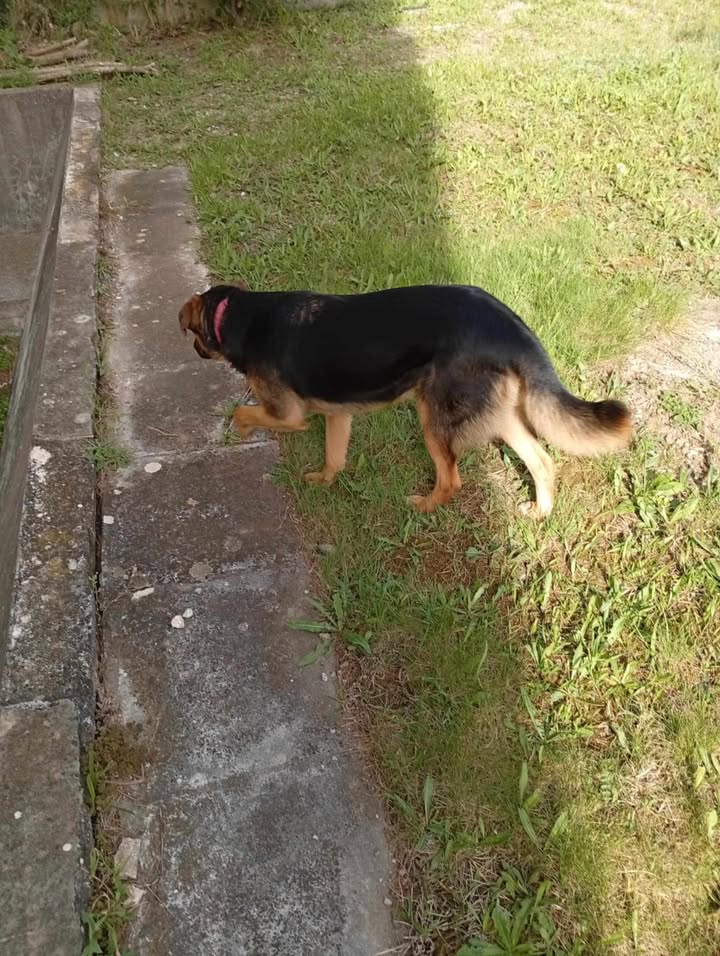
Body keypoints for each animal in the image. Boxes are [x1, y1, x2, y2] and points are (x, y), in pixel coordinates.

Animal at [179, 283, 632, 517]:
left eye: (194, 335)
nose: (196, 351)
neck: (238, 314)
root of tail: (512, 326)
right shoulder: (337, 415)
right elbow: (334, 457)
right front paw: (324, 482)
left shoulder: (289, 414)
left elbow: (244, 411)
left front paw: (239, 431)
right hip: (497, 413)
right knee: (541, 460)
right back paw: (539, 512)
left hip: (434, 416)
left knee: (451, 479)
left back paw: (424, 506)